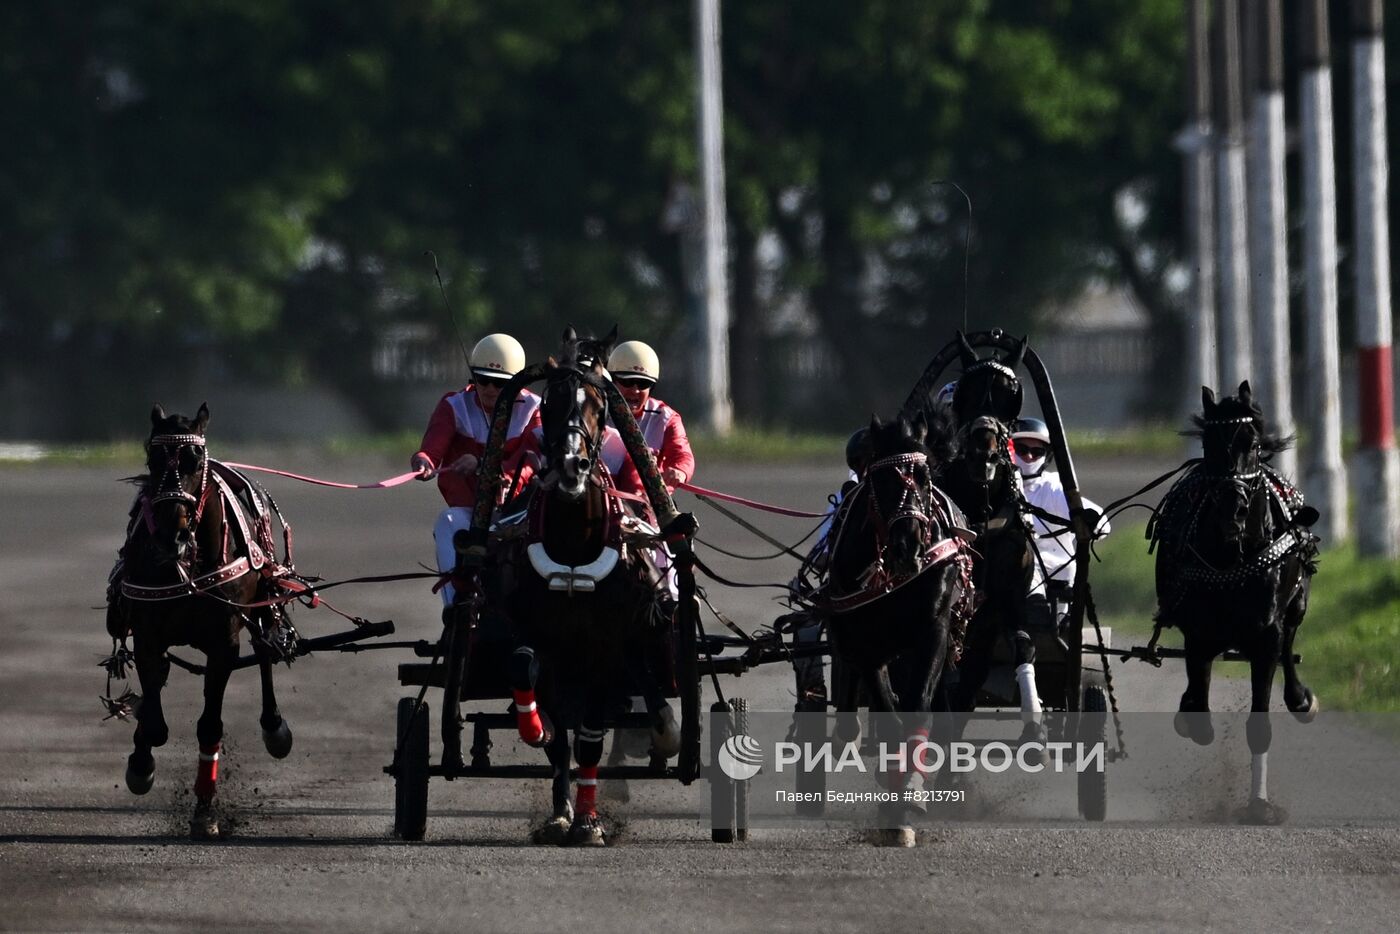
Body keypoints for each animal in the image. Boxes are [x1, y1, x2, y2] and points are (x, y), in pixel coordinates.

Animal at [107, 406, 296, 845]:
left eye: (196, 462)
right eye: (153, 460)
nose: (171, 536)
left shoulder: (223, 642)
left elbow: (210, 726)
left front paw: (205, 813)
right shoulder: (148, 636)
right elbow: (154, 720)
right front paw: (141, 764)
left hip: (260, 604)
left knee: (265, 652)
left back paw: (274, 727)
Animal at [504, 329, 666, 845]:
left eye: (598, 403)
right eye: (550, 402)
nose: (572, 466)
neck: (575, 546)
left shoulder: (607, 647)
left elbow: (592, 735)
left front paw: (589, 821)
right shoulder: (541, 637)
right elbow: (529, 677)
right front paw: (560, 812)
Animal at [817, 408, 974, 845]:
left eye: (924, 476)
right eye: (881, 479)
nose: (909, 545)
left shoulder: (934, 629)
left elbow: (918, 707)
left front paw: (911, 793)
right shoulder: (866, 641)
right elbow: (887, 715)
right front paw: (893, 804)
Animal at [1148, 383, 1321, 823]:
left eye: (1253, 444)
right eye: (1209, 443)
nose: (1234, 509)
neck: (1232, 553)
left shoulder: (1266, 635)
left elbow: (1260, 721)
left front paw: (1259, 806)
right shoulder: (1198, 631)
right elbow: (1198, 705)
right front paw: (1189, 715)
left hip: (1296, 606)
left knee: (1290, 645)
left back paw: (1301, 700)